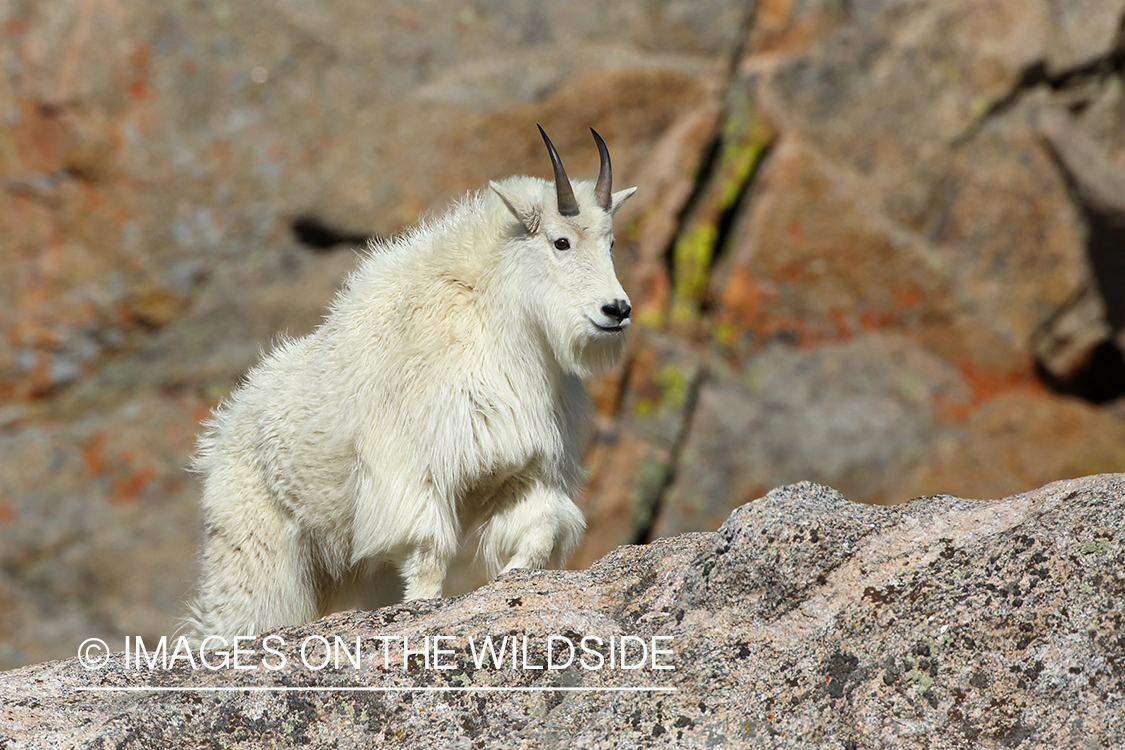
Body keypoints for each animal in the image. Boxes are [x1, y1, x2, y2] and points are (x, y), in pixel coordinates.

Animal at [189, 124, 639, 638]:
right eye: (560, 242)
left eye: (610, 243)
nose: (616, 310)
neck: (500, 327)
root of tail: (222, 432)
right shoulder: (415, 474)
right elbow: (428, 559)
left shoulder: (524, 469)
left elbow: (539, 534)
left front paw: (508, 588)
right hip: (255, 546)